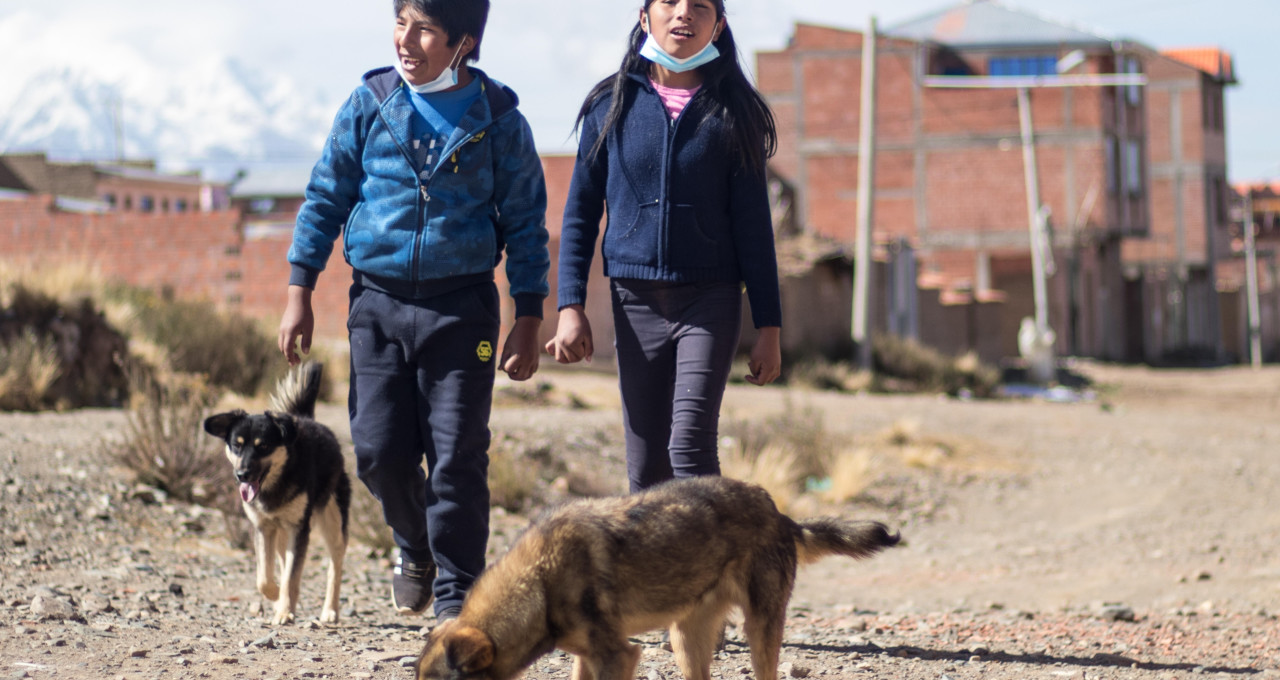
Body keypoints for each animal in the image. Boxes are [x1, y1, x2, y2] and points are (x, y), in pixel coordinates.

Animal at [202, 363, 350, 624]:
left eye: (263, 446)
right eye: (237, 445)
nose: (242, 474)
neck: (276, 483)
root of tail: (307, 419)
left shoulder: (299, 529)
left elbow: (291, 576)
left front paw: (284, 610)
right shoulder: (264, 528)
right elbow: (265, 577)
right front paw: (277, 598)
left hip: (332, 521)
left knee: (335, 564)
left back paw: (330, 610)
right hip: (283, 534)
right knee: (283, 562)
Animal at [414, 473, 896, 680]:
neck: (539, 582)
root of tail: (779, 513)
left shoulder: (618, 656)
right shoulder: (588, 658)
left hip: (760, 629)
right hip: (686, 638)